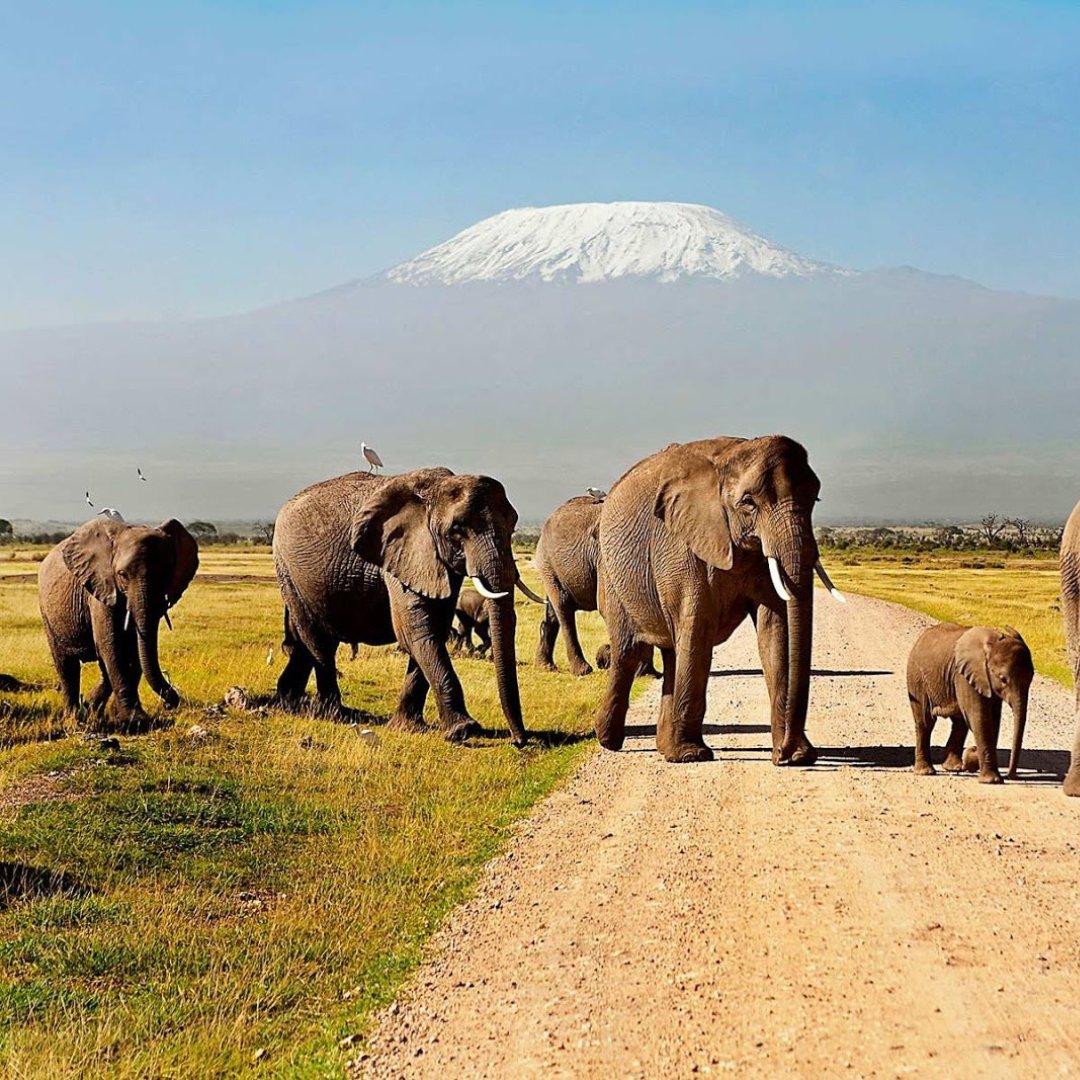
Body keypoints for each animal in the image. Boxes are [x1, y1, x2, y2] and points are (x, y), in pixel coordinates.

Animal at [38, 518, 199, 729]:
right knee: (66, 665)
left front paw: (116, 714)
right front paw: (136, 721)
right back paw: (74, 720)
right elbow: (111, 645)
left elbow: (134, 649)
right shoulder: (101, 587)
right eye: (122, 574)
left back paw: (92, 710)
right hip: (47, 613)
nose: (171, 703)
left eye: (165, 574)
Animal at [272, 467, 542, 745]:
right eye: (457, 530)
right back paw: (335, 715)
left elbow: (433, 630)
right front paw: (463, 730)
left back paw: (289, 703)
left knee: (308, 642)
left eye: (512, 528)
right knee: (318, 641)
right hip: (288, 572)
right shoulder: (401, 554)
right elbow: (417, 631)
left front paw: (408, 727)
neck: (437, 488)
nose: (519, 741)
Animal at [594, 435, 841, 765]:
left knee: (672, 651)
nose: (784, 754)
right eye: (748, 502)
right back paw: (610, 741)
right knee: (628, 651)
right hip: (612, 577)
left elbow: (776, 629)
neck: (730, 457)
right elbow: (698, 627)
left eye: (815, 499)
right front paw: (692, 756)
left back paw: (663, 747)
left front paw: (799, 756)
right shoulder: (681, 545)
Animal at [906, 623, 1033, 783]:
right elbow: (980, 718)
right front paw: (992, 781)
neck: (991, 645)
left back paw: (953, 767)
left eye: (1031, 677)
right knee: (925, 722)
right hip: (917, 679)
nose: (1011, 776)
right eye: (1003, 679)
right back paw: (925, 772)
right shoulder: (965, 676)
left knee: (959, 723)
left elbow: (993, 720)